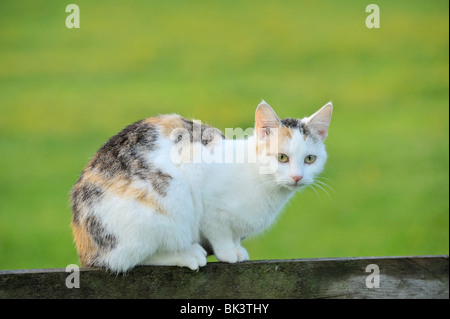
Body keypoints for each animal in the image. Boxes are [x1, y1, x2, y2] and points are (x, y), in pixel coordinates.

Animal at [69, 101, 330, 274]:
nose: (297, 177)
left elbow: (234, 235)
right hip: (166, 204)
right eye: (282, 157)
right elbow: (220, 232)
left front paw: (238, 249)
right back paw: (188, 254)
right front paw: (228, 253)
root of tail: (86, 250)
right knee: (130, 259)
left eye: (310, 159)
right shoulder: (208, 200)